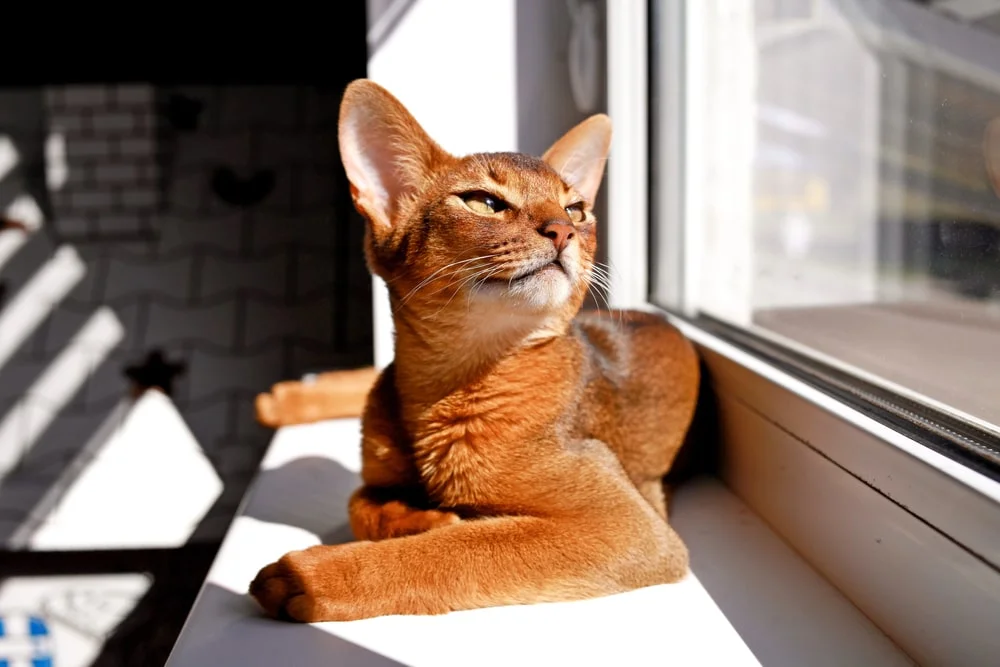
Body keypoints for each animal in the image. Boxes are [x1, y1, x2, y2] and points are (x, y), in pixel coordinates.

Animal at [248, 81, 704, 624]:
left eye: (575, 209)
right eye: (485, 202)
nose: (563, 230)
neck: (445, 387)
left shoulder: (629, 524)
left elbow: (456, 549)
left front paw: (310, 577)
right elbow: (359, 500)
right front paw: (423, 515)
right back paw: (281, 401)